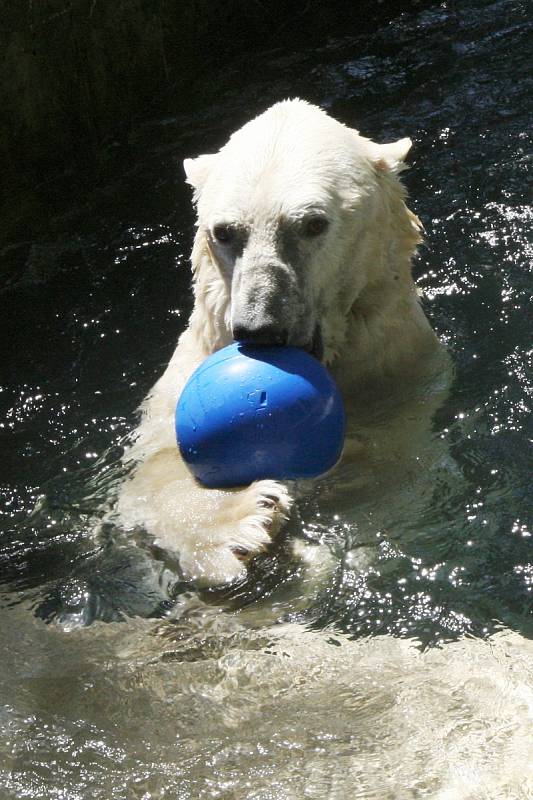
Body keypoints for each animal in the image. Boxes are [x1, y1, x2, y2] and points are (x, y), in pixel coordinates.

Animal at [115, 100, 444, 588]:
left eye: (313, 223)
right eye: (224, 231)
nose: (258, 328)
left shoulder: (399, 371)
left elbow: (387, 469)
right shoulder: (185, 372)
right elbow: (154, 471)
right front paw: (241, 526)